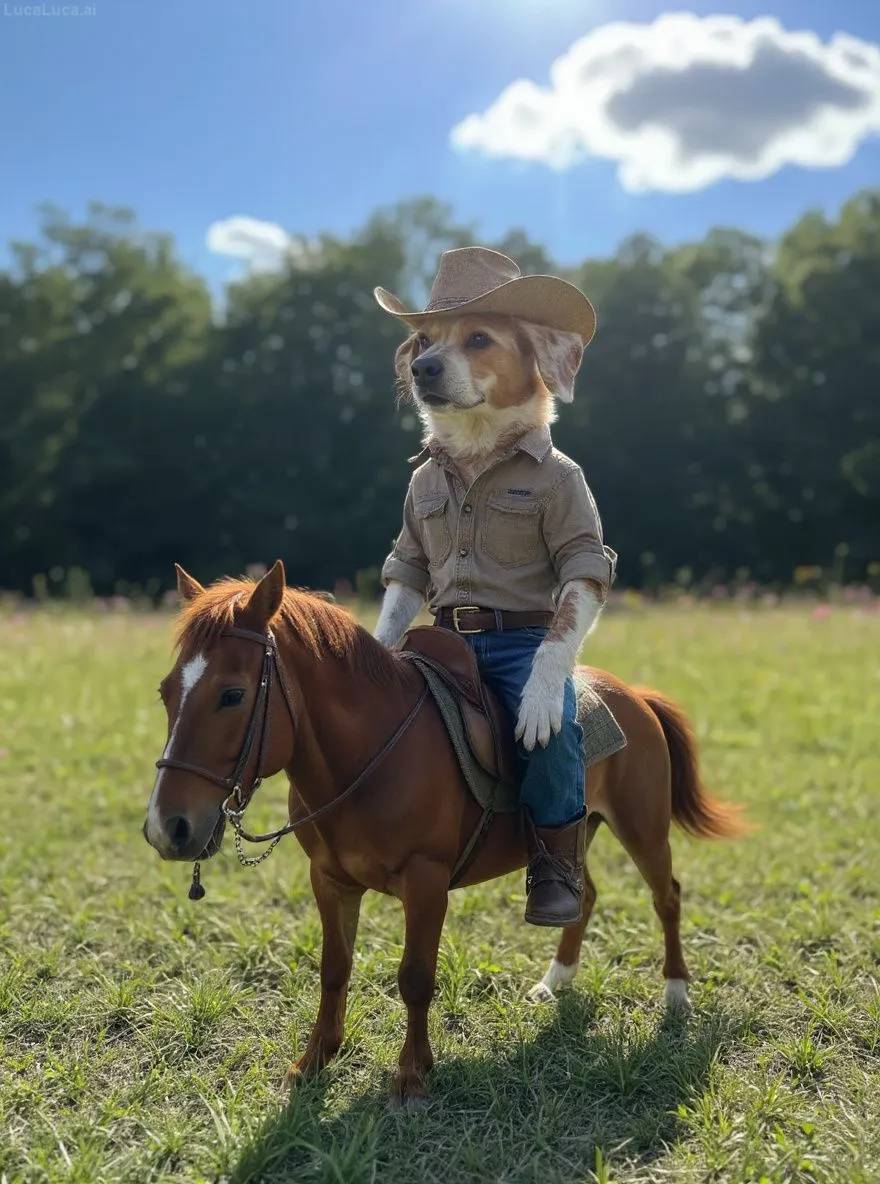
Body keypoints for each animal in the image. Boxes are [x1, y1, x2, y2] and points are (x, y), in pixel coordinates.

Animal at [144, 560, 744, 1103]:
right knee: (584, 895)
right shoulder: (329, 879)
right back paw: (555, 982)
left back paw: (675, 993)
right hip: (578, 834)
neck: (371, 753)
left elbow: (415, 976)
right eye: (165, 691)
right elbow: (334, 967)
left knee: (667, 897)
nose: (166, 828)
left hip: (643, 829)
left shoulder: (426, 882)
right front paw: (314, 1061)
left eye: (232, 695)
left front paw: (412, 1076)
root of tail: (635, 694)